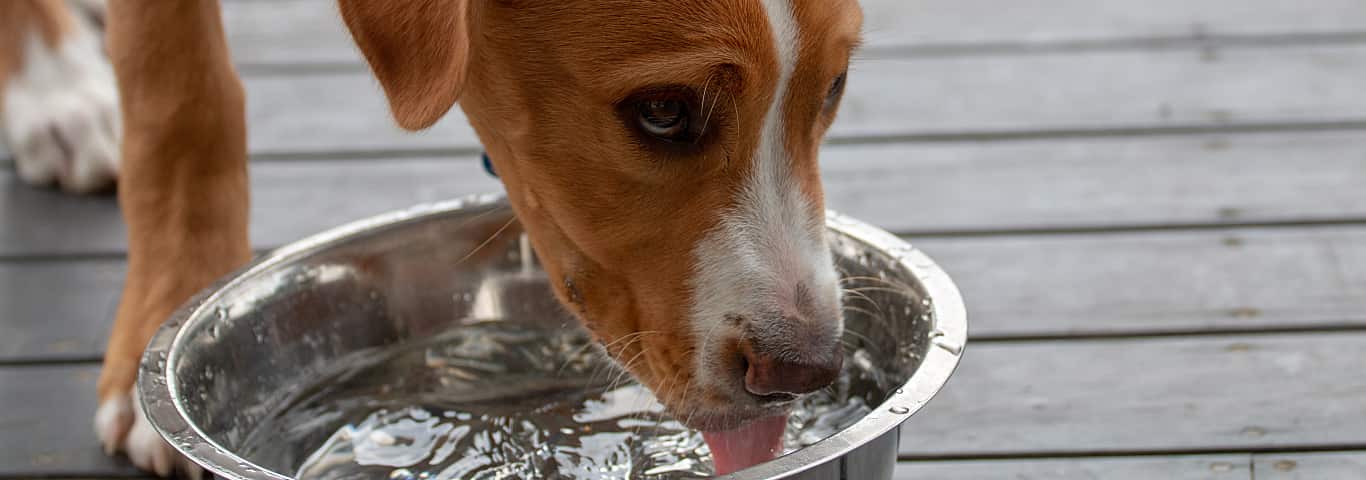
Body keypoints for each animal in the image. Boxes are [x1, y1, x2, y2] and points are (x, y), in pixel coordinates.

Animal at [2, 0, 863, 478]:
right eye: (662, 110)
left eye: (835, 87)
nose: (804, 371)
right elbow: (178, 89)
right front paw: (170, 303)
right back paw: (55, 88)